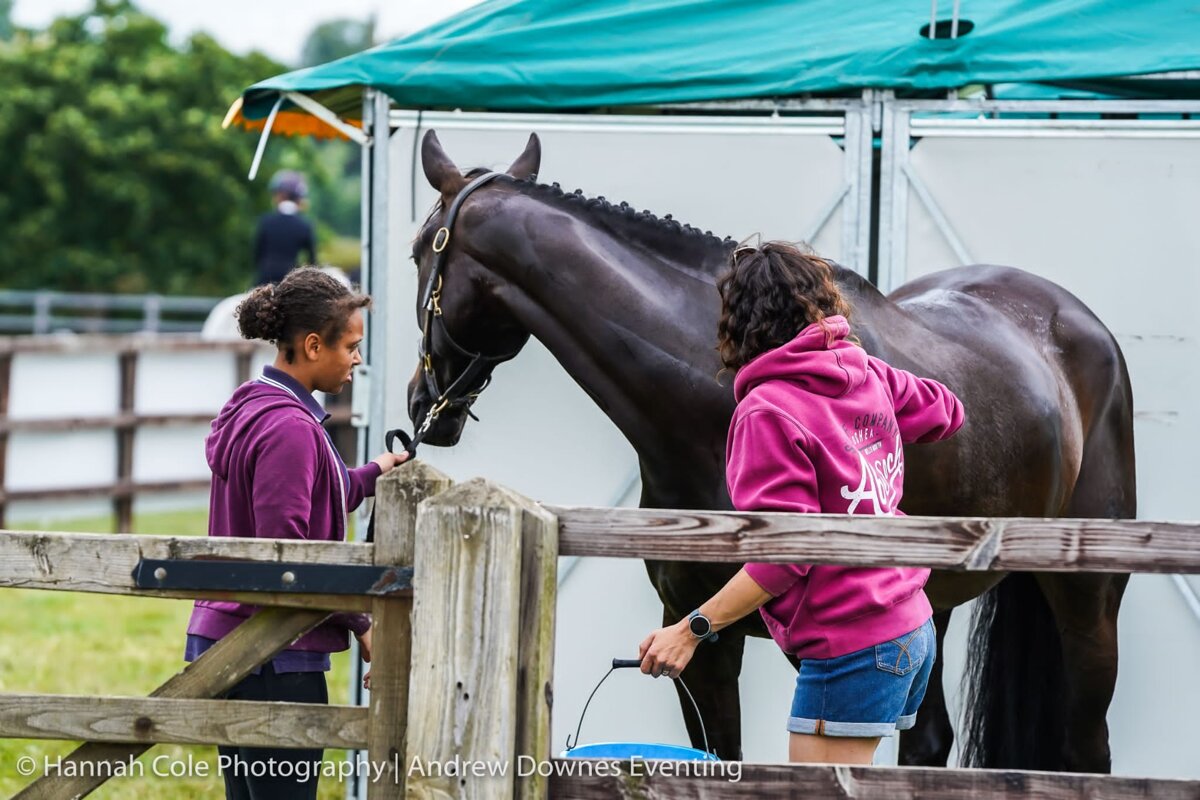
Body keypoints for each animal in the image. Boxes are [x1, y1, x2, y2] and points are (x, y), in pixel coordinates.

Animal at [403, 131, 1132, 777]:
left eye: (416, 252)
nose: (419, 404)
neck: (705, 401)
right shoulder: (700, 641)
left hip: (1088, 604)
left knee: (1085, 751)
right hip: (937, 609)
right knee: (929, 743)